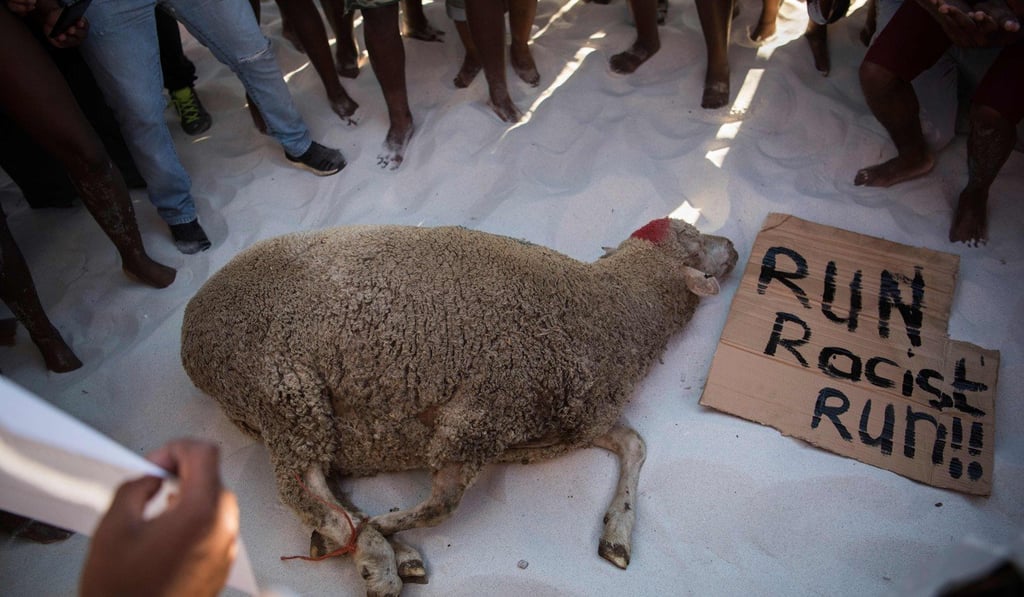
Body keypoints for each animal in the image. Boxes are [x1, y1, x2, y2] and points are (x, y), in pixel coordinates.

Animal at [180, 217, 737, 596]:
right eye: (693, 240)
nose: (732, 244)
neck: (604, 309)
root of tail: (188, 331)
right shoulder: (485, 410)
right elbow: (443, 503)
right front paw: (380, 532)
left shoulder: (570, 423)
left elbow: (634, 444)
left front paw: (618, 534)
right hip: (282, 386)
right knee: (302, 488)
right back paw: (375, 557)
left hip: (295, 412)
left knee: (319, 485)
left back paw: (370, 545)